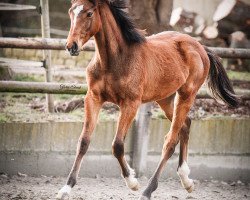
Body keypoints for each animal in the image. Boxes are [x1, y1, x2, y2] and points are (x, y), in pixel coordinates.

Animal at [56, 0, 238, 199]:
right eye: (71, 11)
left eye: (89, 13)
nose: (71, 46)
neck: (115, 60)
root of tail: (200, 47)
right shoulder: (93, 98)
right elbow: (83, 141)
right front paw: (66, 188)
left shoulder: (130, 103)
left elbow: (117, 145)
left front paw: (132, 181)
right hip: (165, 99)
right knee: (185, 125)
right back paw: (186, 180)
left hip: (186, 95)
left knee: (170, 141)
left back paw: (148, 190)